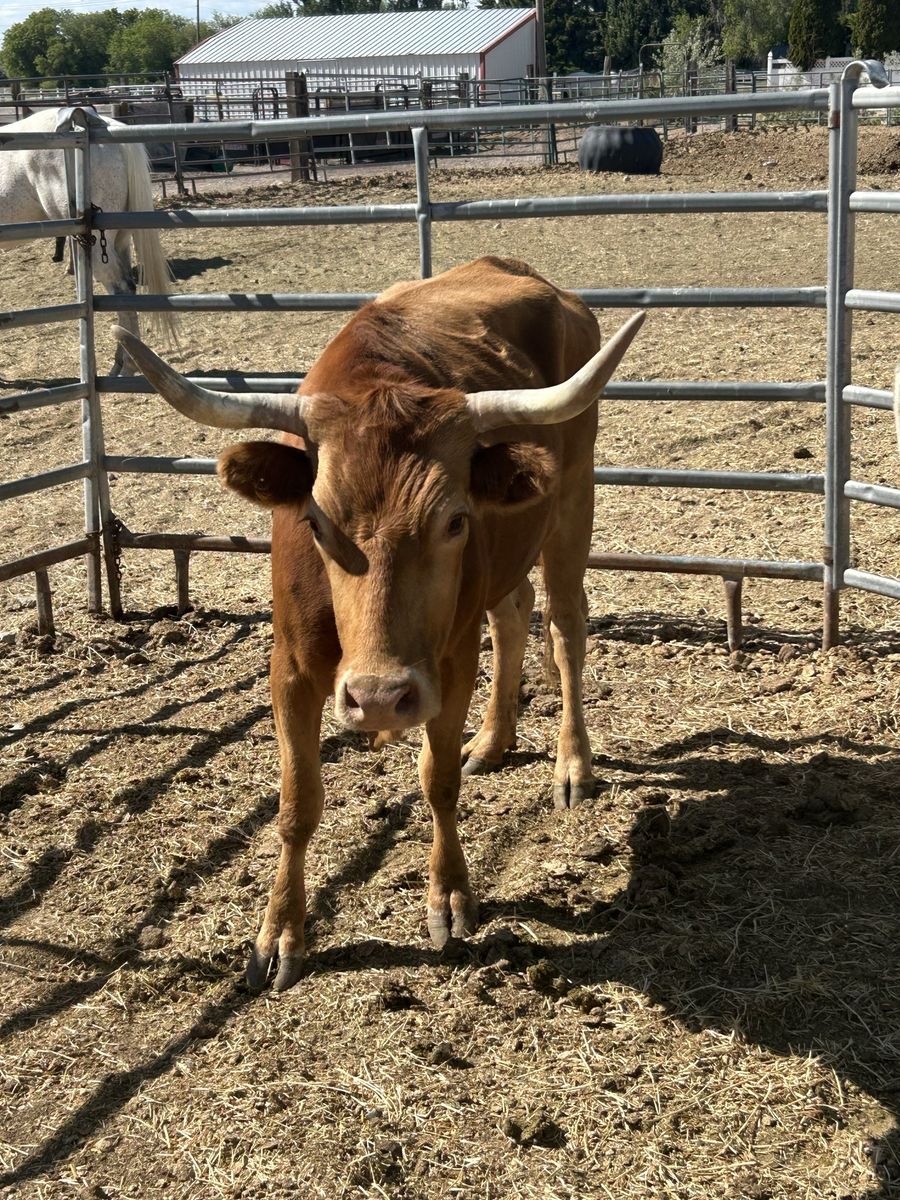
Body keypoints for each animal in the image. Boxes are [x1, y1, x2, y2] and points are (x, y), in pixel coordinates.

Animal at [112, 257, 645, 991]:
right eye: (316, 521)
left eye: (454, 520)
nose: (379, 697)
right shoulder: (292, 668)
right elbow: (297, 804)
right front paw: (280, 933)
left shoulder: (448, 664)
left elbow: (437, 779)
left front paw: (448, 895)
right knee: (513, 615)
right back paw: (493, 740)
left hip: (572, 503)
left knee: (565, 628)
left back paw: (572, 764)